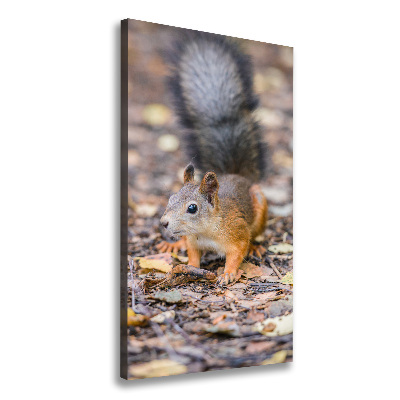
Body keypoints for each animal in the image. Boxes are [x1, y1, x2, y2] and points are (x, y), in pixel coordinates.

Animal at [156, 32, 268, 286]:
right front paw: (190, 266)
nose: (164, 223)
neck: (205, 230)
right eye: (171, 198)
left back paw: (256, 247)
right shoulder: (193, 241)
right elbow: (193, 255)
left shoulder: (237, 232)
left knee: (255, 235)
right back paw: (172, 244)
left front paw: (228, 273)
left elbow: (237, 253)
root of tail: (236, 174)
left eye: (192, 208)